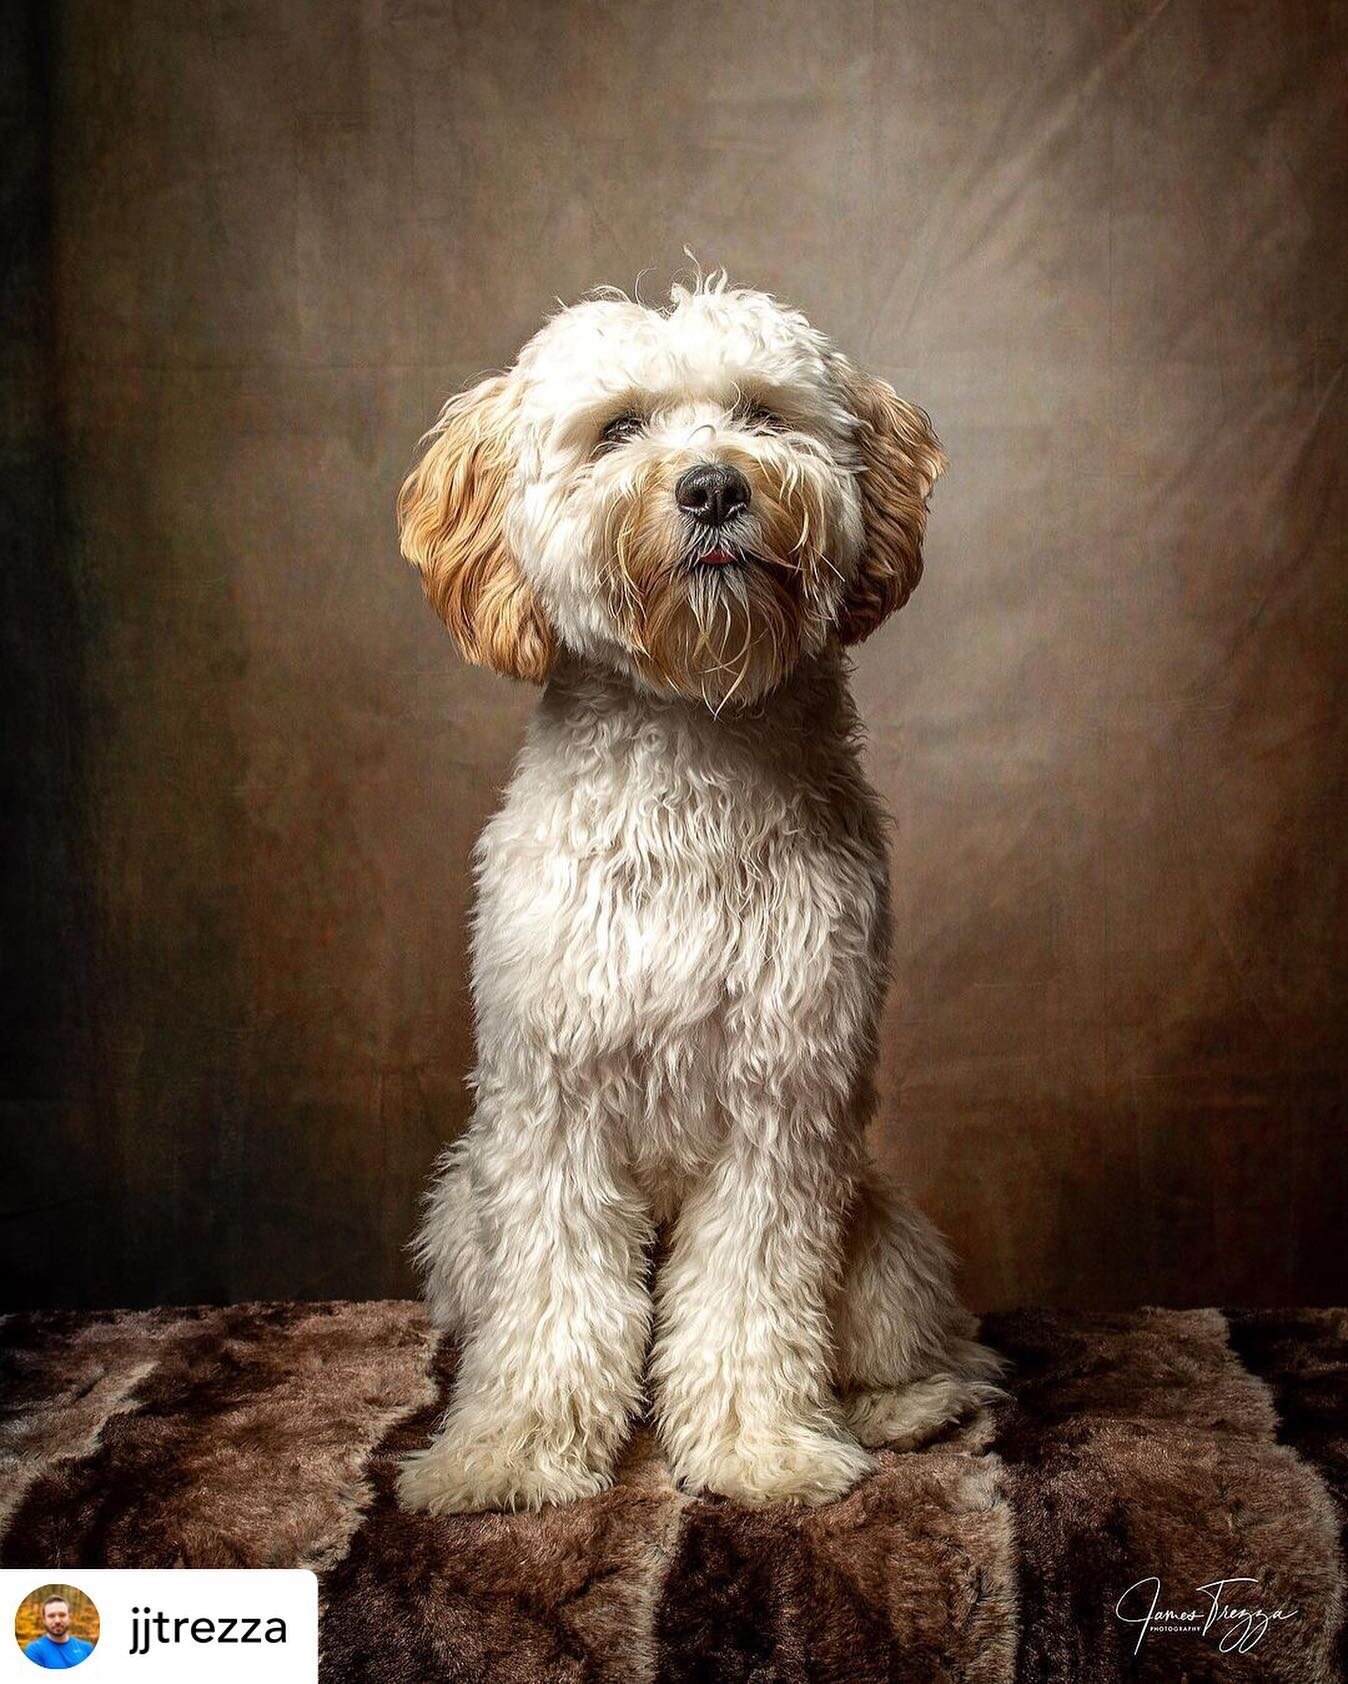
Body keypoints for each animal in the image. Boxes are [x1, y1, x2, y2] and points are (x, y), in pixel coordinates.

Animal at [394, 272, 1004, 1515]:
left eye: (762, 413)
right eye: (617, 428)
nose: (715, 483)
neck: (692, 743)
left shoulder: (785, 1099)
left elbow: (750, 1297)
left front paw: (760, 1447)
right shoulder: (552, 1101)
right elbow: (553, 1299)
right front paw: (508, 1451)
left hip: (881, 1238)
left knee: (924, 1343)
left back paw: (908, 1406)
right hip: (459, 1215)